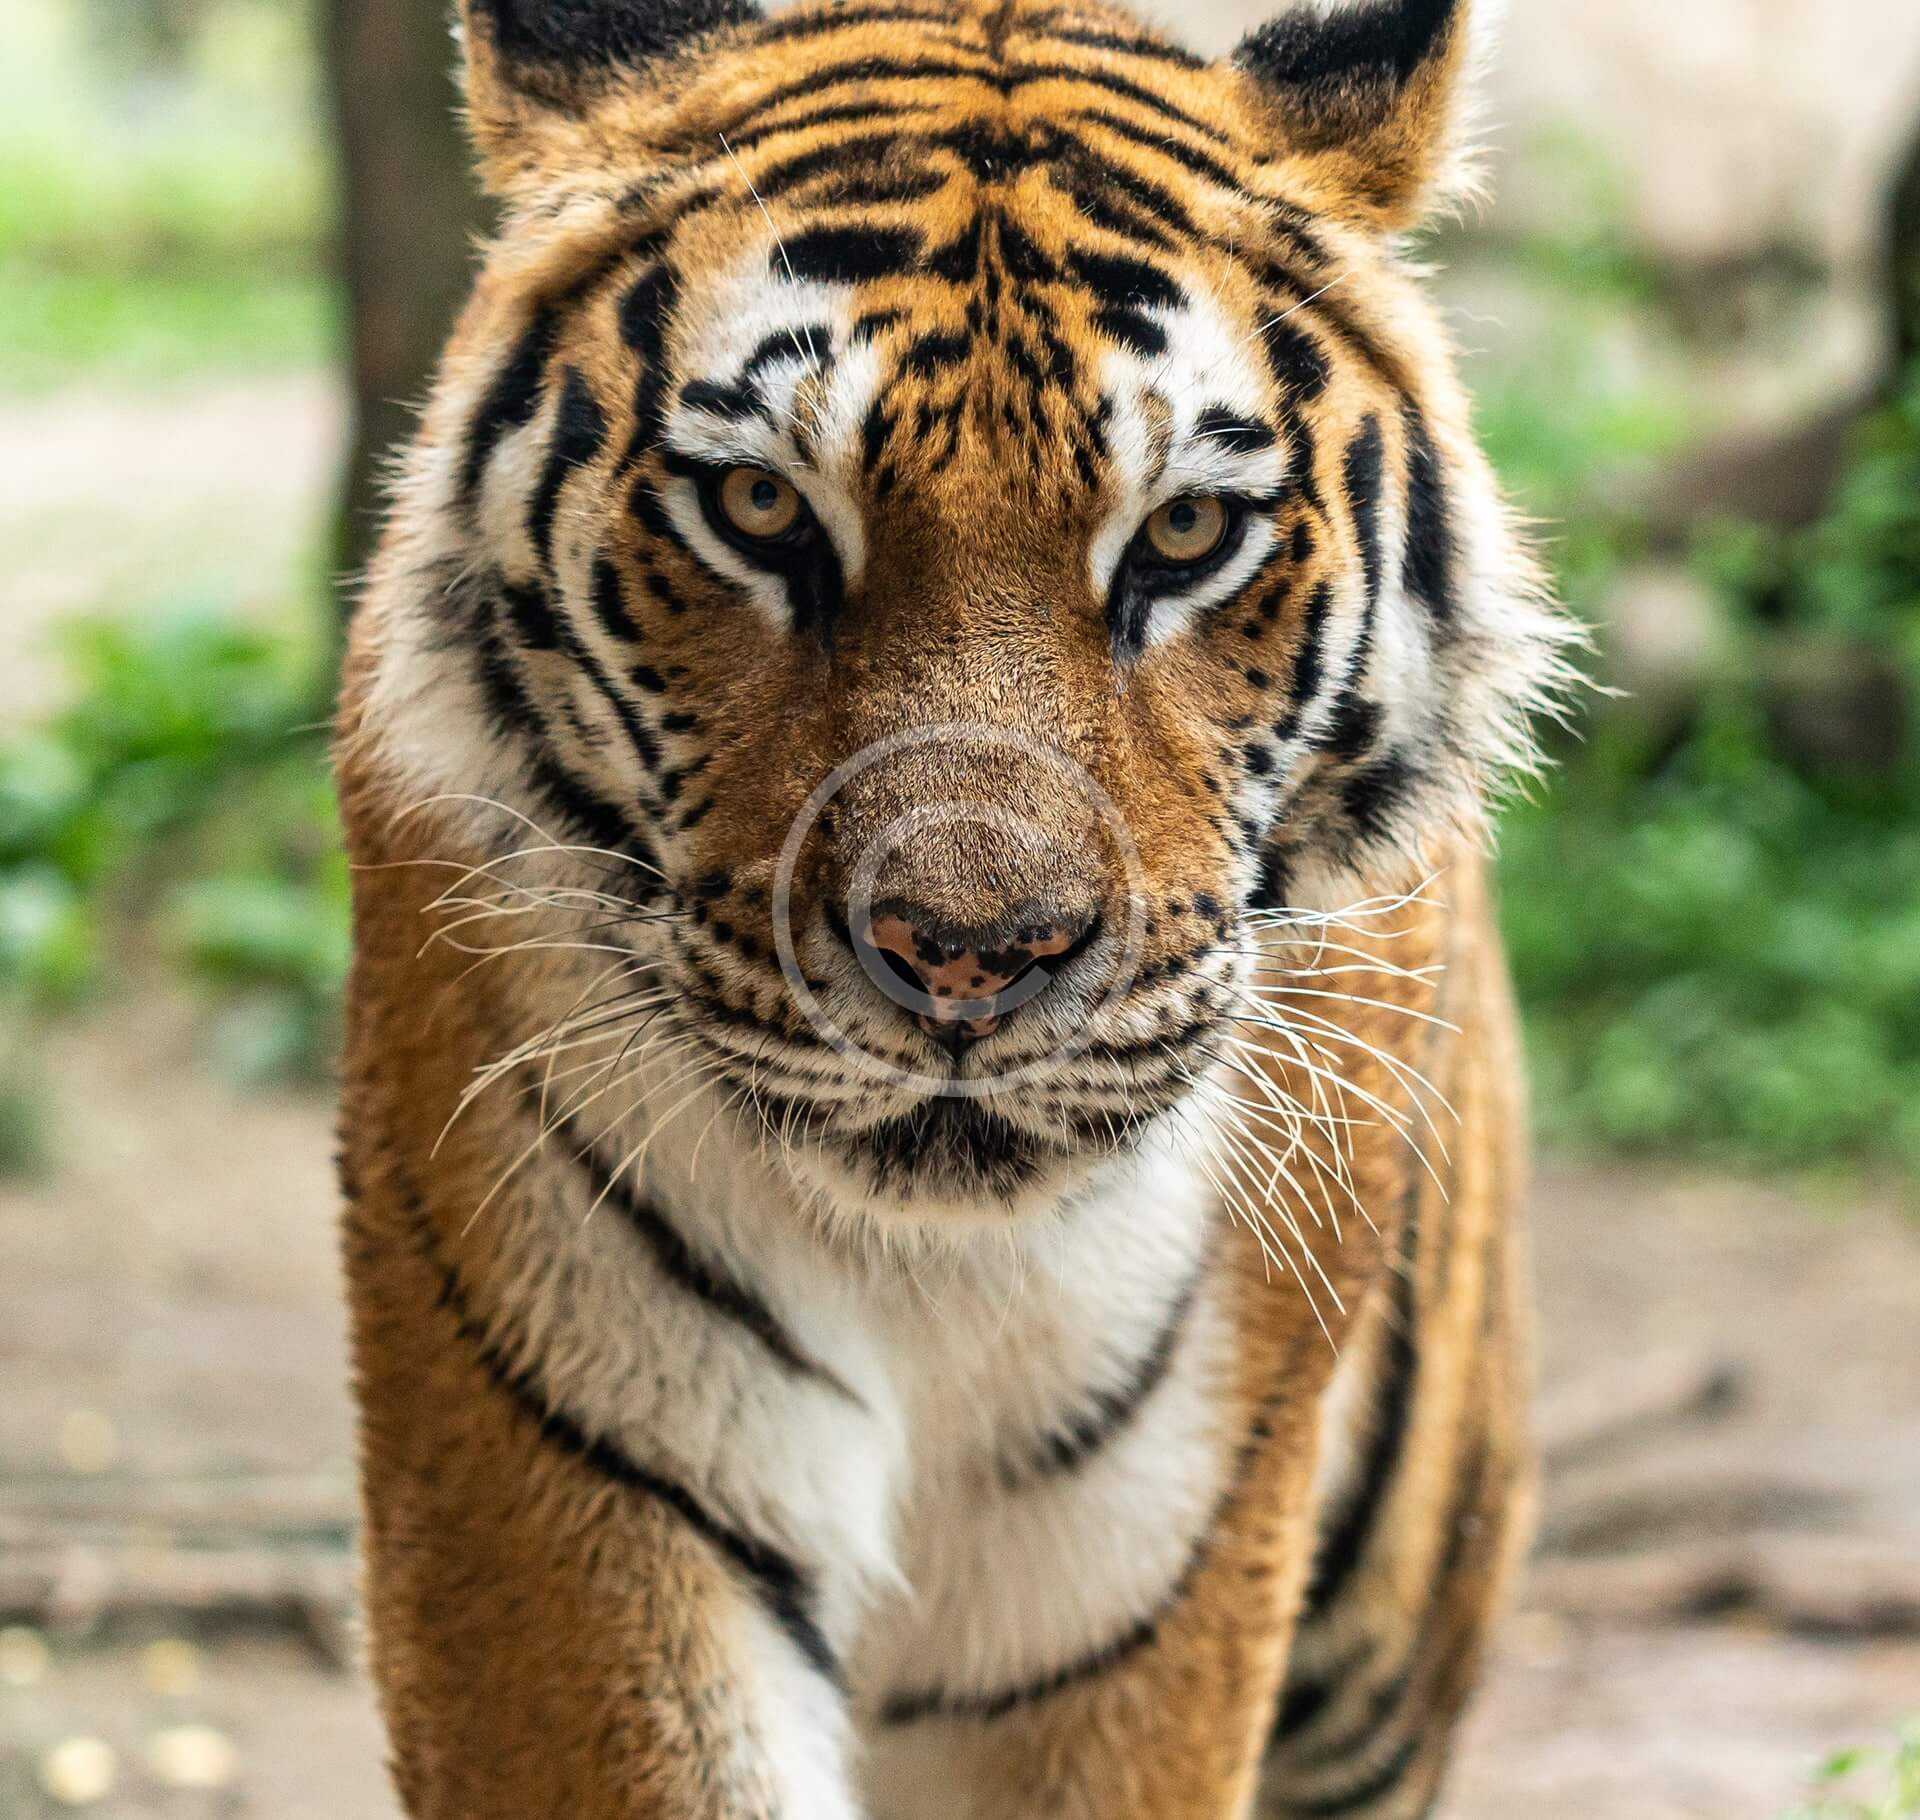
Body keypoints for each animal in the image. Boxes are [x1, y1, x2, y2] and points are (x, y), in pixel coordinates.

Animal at [332, 0, 1576, 1815]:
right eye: (760, 509)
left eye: (1184, 532)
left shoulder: (1140, 1591)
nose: (970, 959)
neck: (936, 1276)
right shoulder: (569, 1486)